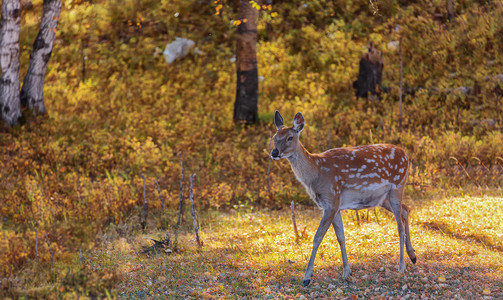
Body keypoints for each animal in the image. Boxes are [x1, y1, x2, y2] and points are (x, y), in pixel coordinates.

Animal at [272, 110, 418, 286]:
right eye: (274, 137)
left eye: (290, 137)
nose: (274, 153)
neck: (316, 173)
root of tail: (406, 154)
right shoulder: (334, 206)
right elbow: (341, 237)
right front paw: (347, 272)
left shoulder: (331, 199)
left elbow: (317, 237)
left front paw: (307, 277)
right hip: (383, 198)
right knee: (406, 209)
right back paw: (413, 256)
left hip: (397, 185)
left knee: (400, 227)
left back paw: (402, 266)